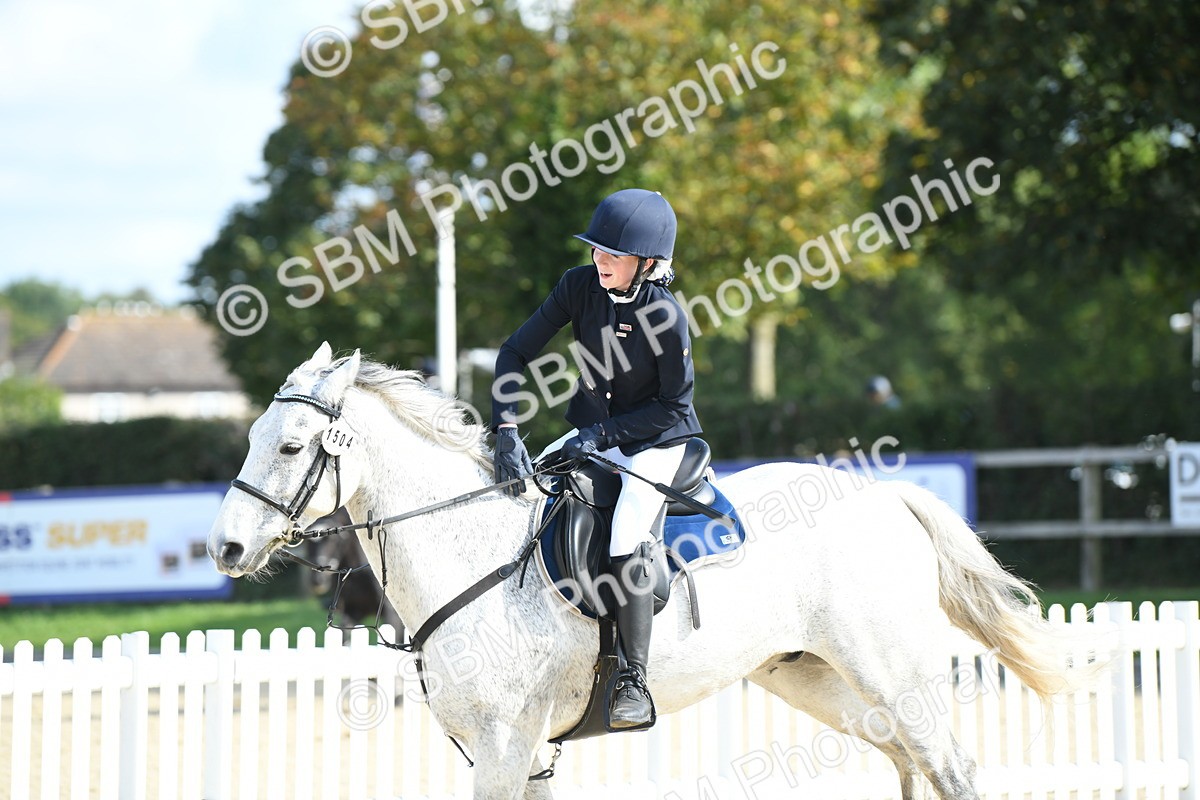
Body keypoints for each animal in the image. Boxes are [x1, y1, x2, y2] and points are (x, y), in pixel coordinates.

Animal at [208, 343, 1086, 800]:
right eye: (251, 436)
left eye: (291, 446)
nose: (225, 549)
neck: (471, 547)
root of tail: (884, 494)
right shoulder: (518, 752)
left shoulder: (502, 747)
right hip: (817, 677)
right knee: (908, 762)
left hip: (892, 671)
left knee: (949, 765)